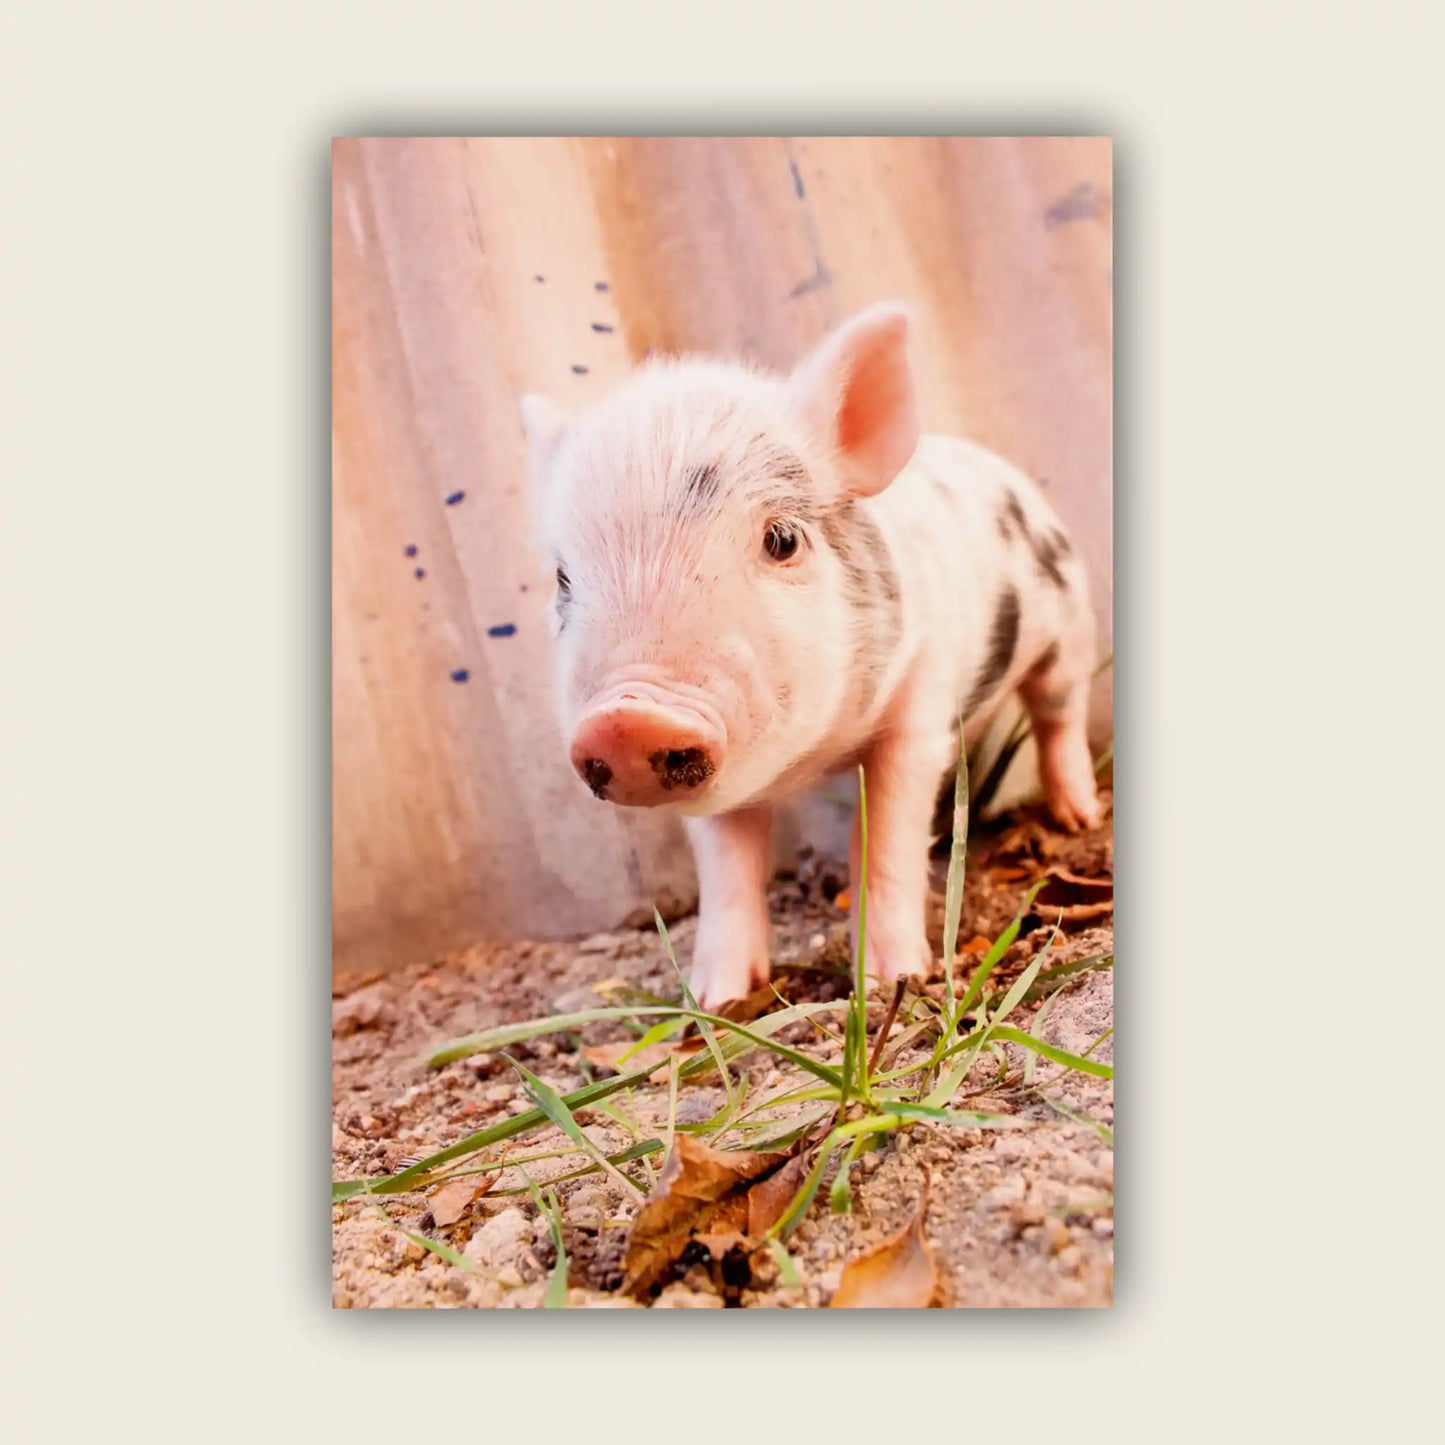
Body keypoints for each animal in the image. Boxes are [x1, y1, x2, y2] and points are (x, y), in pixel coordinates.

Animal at [520, 303, 1100, 1008]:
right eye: (562, 579)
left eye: (782, 539)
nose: (627, 719)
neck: (817, 755)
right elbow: (728, 866)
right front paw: (713, 1002)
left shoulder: (922, 699)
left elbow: (889, 833)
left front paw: (890, 980)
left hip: (1069, 622)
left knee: (1058, 713)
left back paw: (1078, 817)